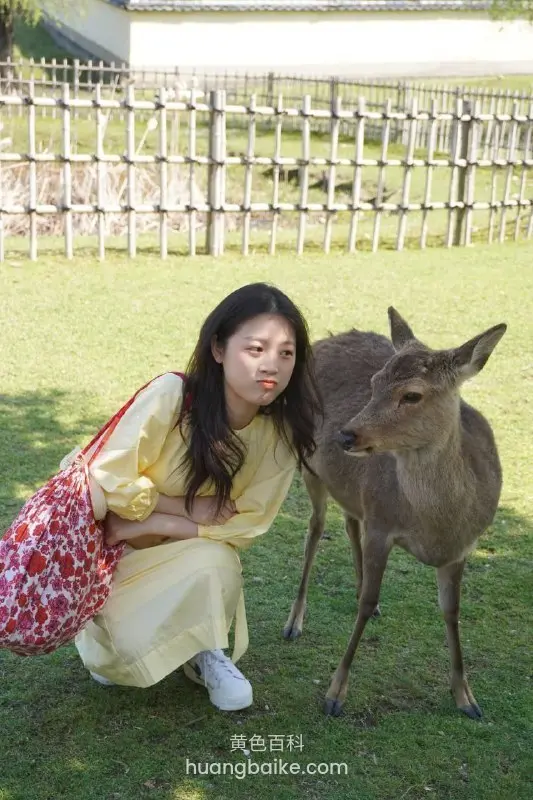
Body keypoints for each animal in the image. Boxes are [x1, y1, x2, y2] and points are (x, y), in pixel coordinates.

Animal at [283, 307, 506, 719]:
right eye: (374, 382)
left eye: (413, 394)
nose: (345, 435)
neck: (437, 526)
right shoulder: (381, 525)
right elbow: (367, 601)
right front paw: (335, 695)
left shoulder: (462, 547)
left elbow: (452, 611)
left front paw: (466, 698)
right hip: (308, 466)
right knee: (315, 529)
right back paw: (294, 623)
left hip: (351, 491)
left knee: (349, 520)